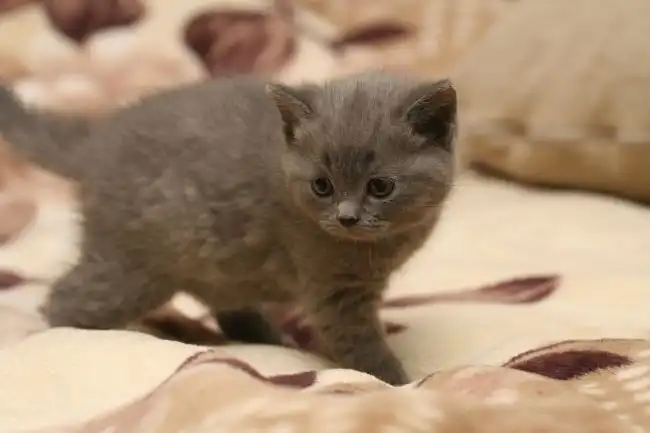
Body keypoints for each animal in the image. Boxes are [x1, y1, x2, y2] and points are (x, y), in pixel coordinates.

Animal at [2, 72, 457, 385]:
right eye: (322, 186)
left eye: (380, 187)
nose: (347, 217)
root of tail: (95, 142)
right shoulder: (335, 291)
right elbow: (363, 347)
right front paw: (403, 383)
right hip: (131, 269)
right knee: (64, 300)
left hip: (215, 266)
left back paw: (270, 339)